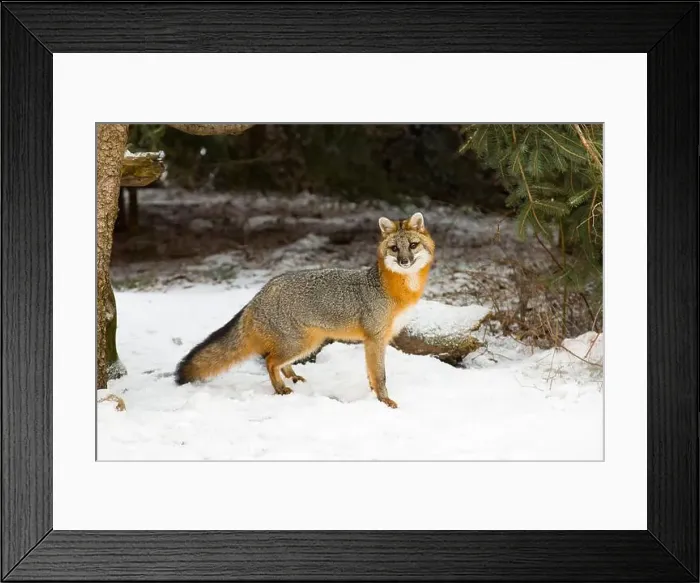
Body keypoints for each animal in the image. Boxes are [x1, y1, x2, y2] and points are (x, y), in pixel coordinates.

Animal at [174, 212, 435, 408]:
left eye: (413, 246)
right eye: (394, 248)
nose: (404, 262)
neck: (393, 289)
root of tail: (261, 293)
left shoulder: (378, 340)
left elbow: (372, 374)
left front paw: (374, 394)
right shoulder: (375, 339)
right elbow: (380, 375)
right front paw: (384, 400)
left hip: (307, 343)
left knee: (276, 361)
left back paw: (292, 377)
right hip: (301, 344)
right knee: (270, 361)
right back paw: (280, 388)